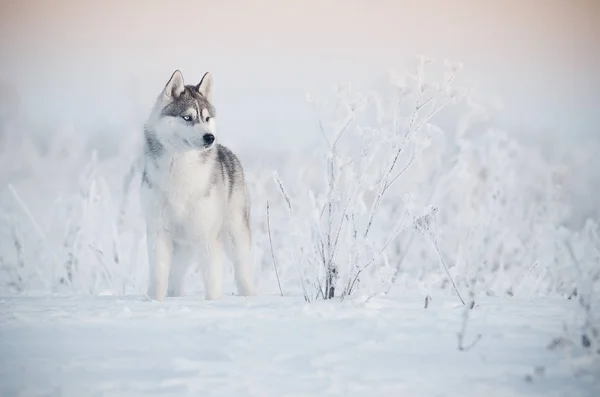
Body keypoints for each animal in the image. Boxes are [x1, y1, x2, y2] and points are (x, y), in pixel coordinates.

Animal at [142, 71, 255, 300]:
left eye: (207, 118)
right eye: (187, 117)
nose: (210, 137)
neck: (179, 170)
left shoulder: (207, 237)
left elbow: (212, 284)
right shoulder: (158, 233)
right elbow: (158, 277)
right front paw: (155, 302)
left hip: (235, 238)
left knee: (243, 272)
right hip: (181, 248)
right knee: (175, 279)